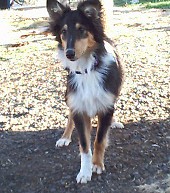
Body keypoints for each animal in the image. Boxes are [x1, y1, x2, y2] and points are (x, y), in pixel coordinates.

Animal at [46, 0, 123, 184]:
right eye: (63, 32)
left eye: (81, 29)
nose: (69, 53)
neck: (87, 69)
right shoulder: (79, 107)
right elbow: (84, 145)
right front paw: (85, 171)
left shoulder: (106, 106)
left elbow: (99, 140)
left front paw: (97, 165)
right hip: (70, 96)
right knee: (69, 117)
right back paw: (65, 137)